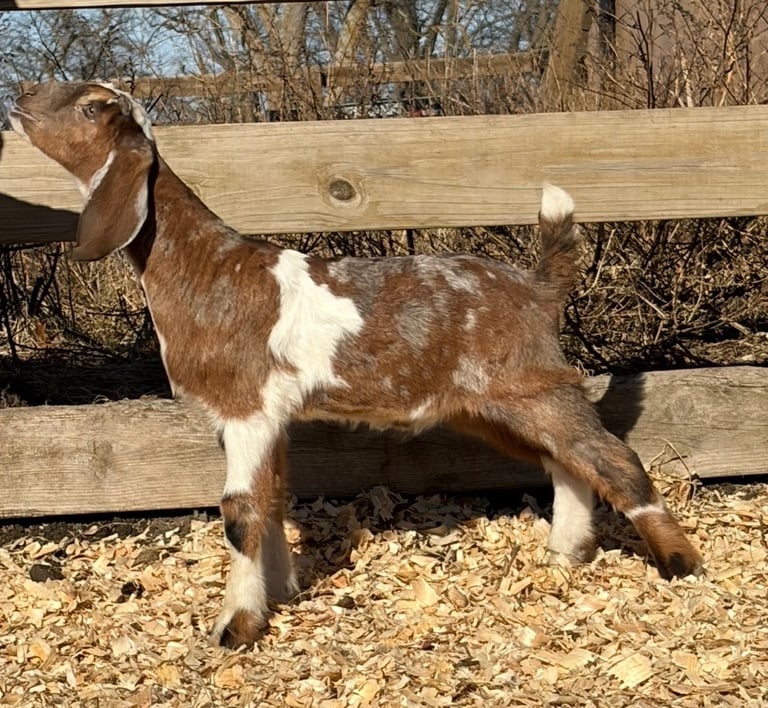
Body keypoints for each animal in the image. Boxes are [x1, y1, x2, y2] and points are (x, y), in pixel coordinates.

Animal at [10, 81, 703, 649]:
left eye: (92, 106)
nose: (20, 96)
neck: (204, 266)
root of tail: (538, 287)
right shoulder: (272, 417)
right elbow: (274, 496)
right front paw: (282, 590)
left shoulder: (246, 406)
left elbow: (240, 511)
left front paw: (237, 625)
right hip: (498, 402)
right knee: (566, 460)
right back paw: (565, 552)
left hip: (528, 384)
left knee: (611, 457)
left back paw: (681, 564)